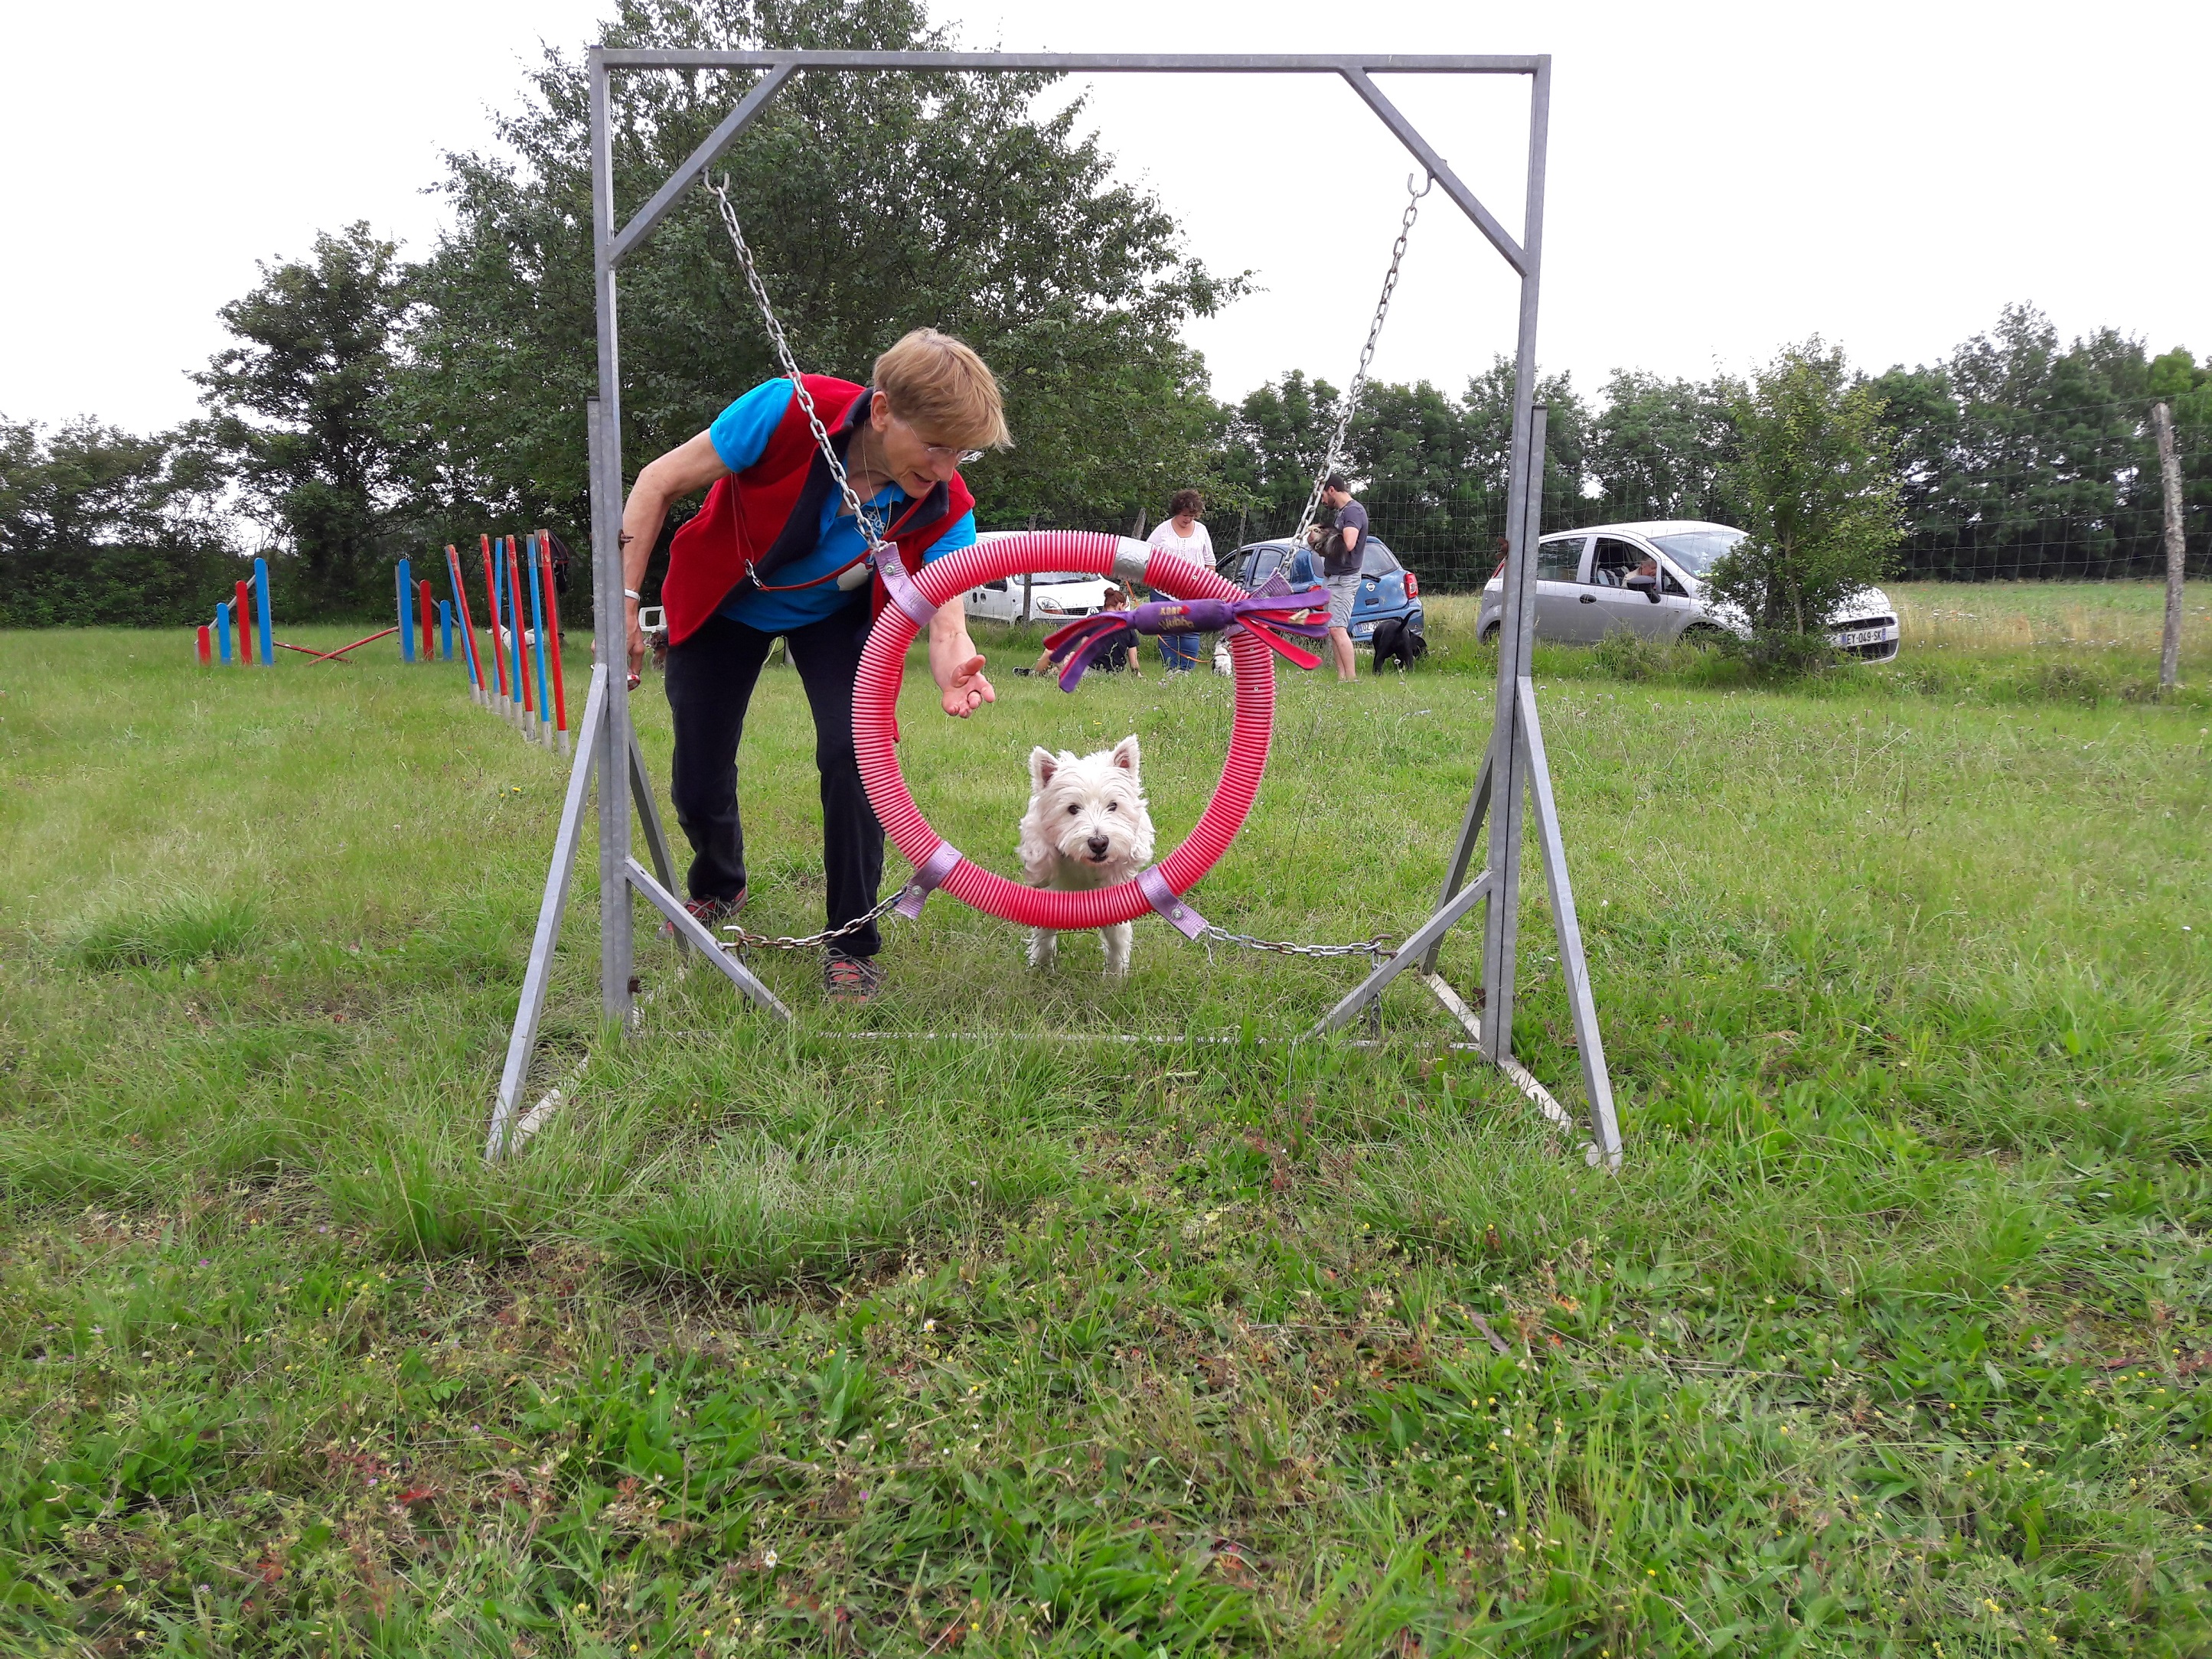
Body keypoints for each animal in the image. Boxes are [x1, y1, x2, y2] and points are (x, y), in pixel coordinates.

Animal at [1017, 738, 1159, 982]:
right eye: (1072, 808)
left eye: (1113, 806)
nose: (1099, 843)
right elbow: (1038, 845)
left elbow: (1117, 937)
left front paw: (1115, 978)